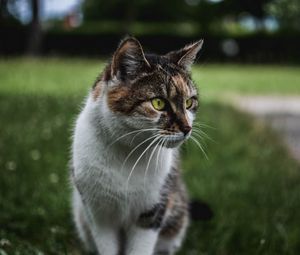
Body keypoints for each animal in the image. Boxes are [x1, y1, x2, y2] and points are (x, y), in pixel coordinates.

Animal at [71, 36, 204, 255]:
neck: (129, 154)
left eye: (189, 102)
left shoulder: (152, 211)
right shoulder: (99, 214)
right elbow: (107, 247)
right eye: (158, 103)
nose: (187, 128)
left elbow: (140, 248)